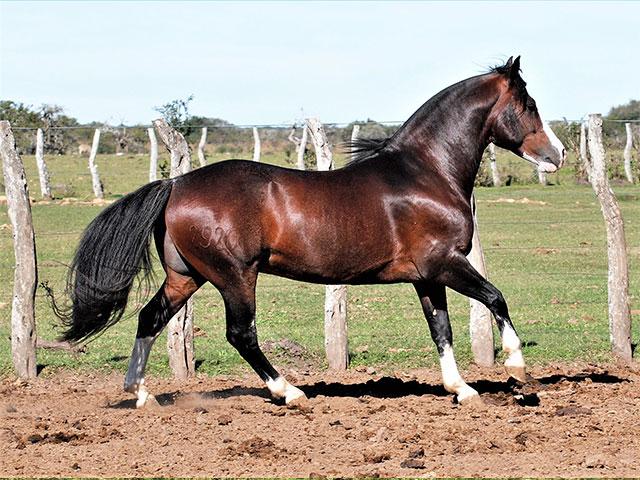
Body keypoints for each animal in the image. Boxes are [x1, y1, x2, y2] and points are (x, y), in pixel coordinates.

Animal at [53, 57, 564, 408]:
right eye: (529, 105)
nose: (557, 155)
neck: (425, 172)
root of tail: (176, 184)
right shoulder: (445, 263)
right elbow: (495, 298)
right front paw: (518, 369)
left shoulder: (427, 276)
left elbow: (442, 329)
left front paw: (462, 389)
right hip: (235, 276)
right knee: (241, 334)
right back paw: (290, 392)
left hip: (187, 276)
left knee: (149, 319)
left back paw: (142, 395)